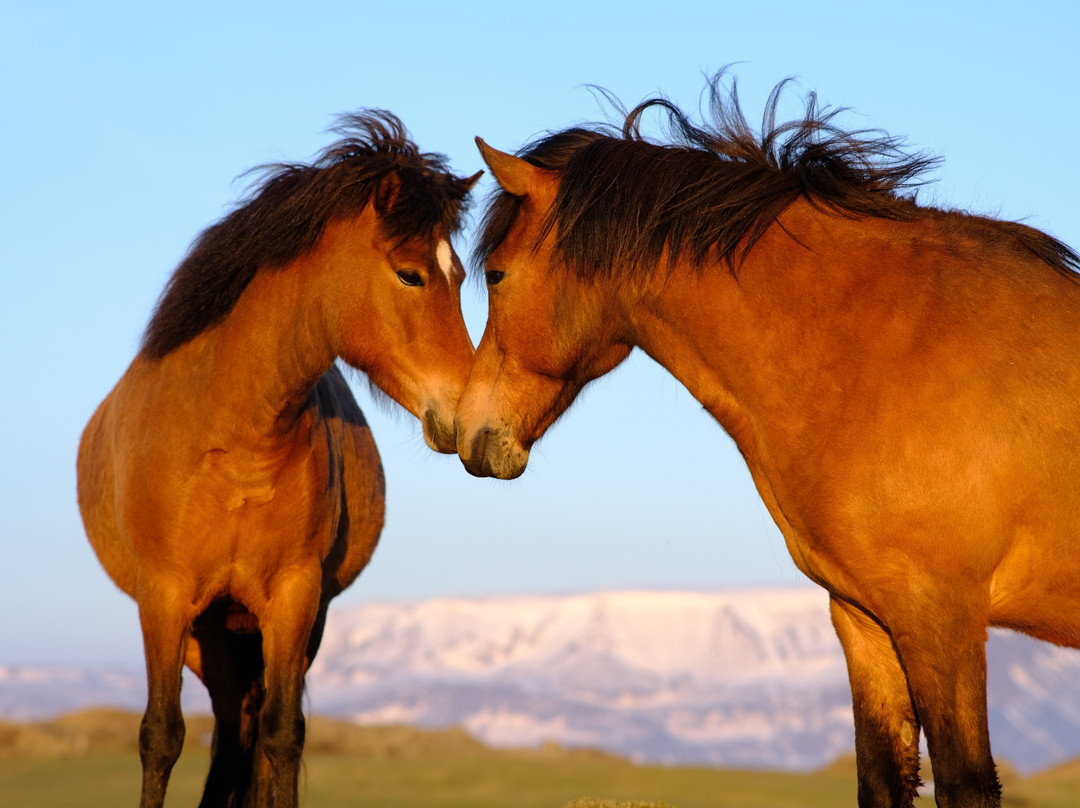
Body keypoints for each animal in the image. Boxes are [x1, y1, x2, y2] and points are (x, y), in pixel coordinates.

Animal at [77, 111, 479, 808]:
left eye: (460, 278)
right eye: (410, 274)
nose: (467, 407)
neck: (237, 444)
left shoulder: (295, 596)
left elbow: (282, 735)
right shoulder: (164, 596)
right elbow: (160, 735)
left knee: (244, 728)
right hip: (207, 630)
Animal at [455, 74, 1080, 808]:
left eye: (495, 273)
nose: (471, 434)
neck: (885, 350)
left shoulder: (942, 619)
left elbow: (966, 783)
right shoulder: (865, 619)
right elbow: (882, 777)